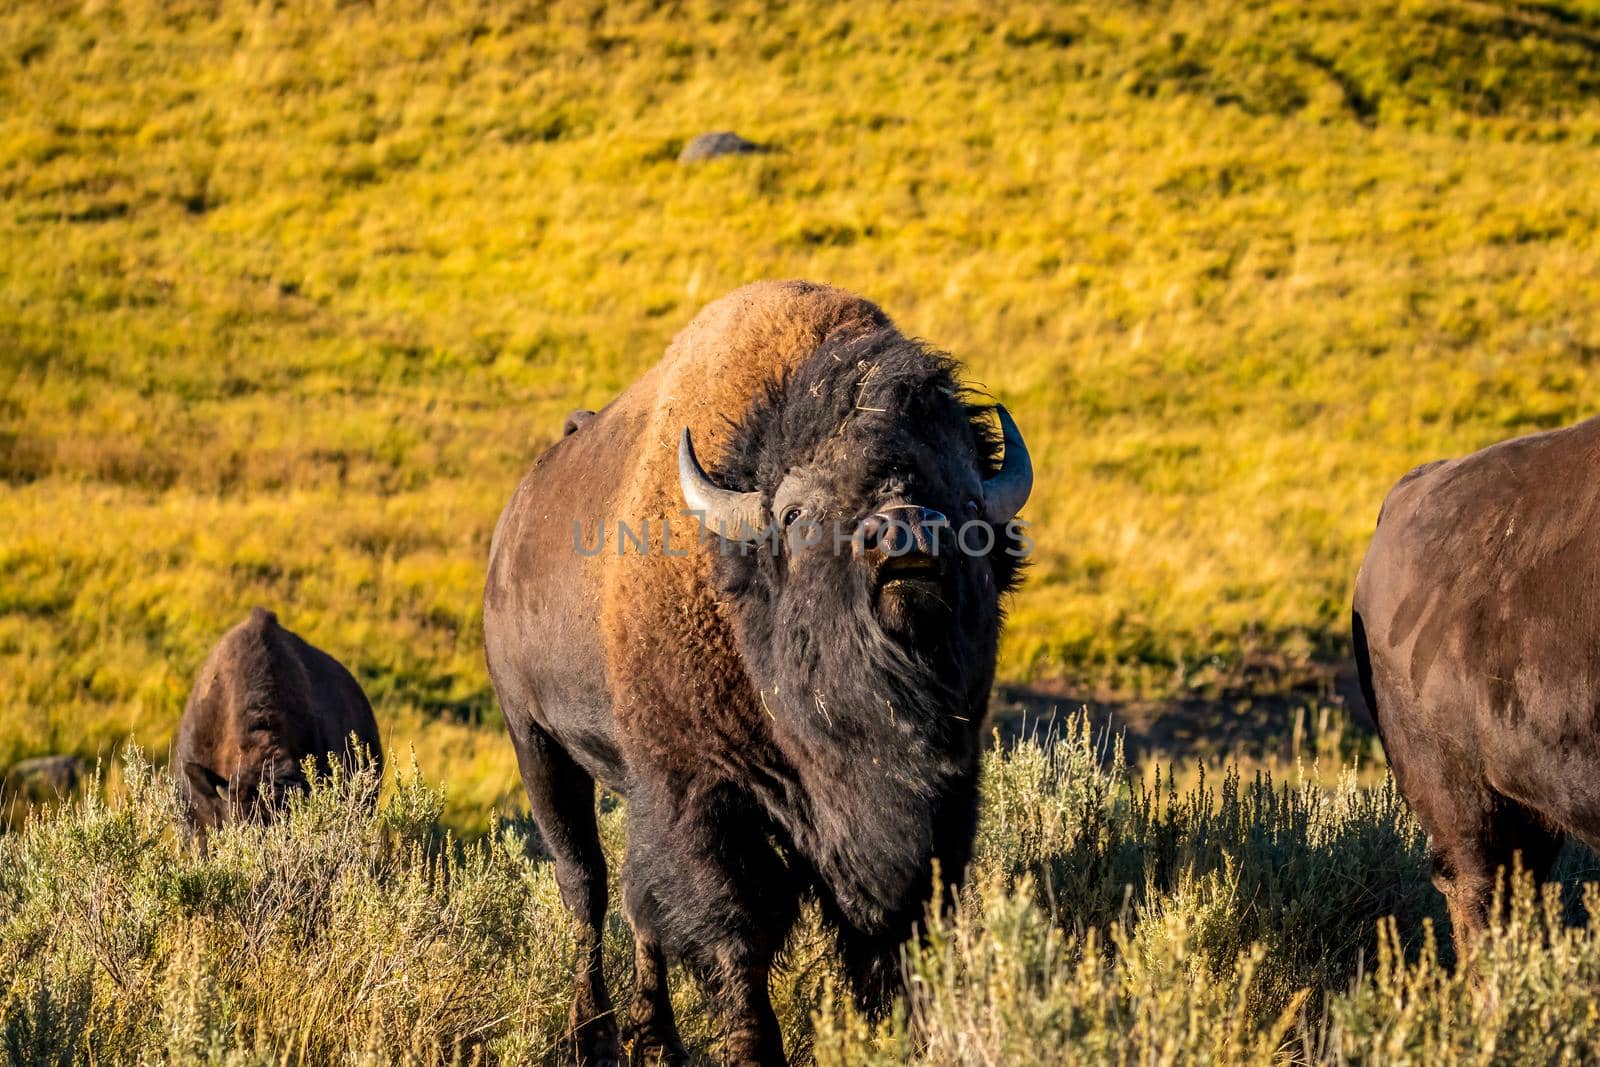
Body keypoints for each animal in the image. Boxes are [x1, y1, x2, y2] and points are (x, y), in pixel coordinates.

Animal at [480, 279, 1030, 1062]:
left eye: (970, 503)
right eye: (797, 513)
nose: (905, 533)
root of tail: (512, 525)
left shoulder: (939, 799)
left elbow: (894, 929)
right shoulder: (702, 796)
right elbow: (736, 935)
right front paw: (753, 1047)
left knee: (637, 906)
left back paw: (656, 1036)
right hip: (536, 740)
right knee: (585, 884)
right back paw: (596, 1032)